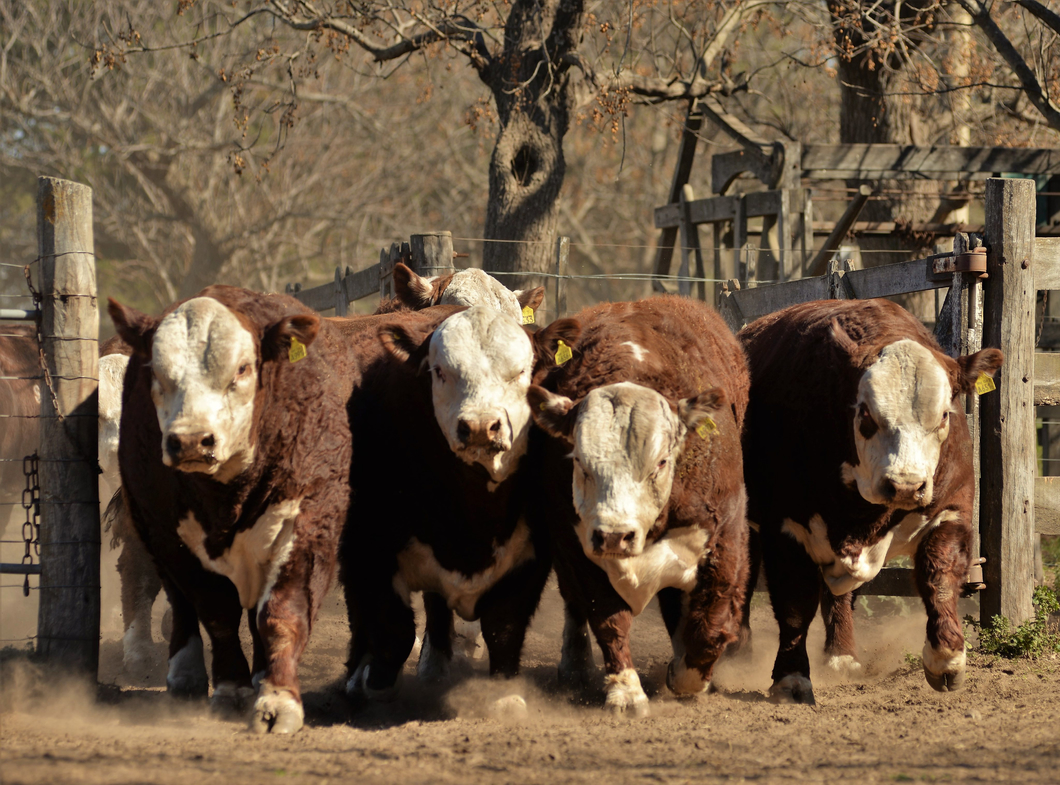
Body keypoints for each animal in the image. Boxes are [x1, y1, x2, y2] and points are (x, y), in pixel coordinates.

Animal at [110, 288, 354, 733]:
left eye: (242, 368)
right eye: (157, 371)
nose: (191, 440)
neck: (227, 493)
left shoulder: (307, 521)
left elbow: (281, 612)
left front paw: (277, 699)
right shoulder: (171, 536)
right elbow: (216, 612)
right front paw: (230, 690)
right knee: (179, 601)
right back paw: (186, 674)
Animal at [339, 305, 576, 699]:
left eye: (521, 372)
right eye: (439, 371)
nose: (480, 427)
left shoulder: (531, 555)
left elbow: (504, 628)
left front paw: (505, 696)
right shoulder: (368, 544)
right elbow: (392, 628)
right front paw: (374, 680)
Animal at [525, 296, 750, 711]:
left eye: (660, 462)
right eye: (580, 461)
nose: (615, 536)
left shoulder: (726, 537)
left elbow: (710, 623)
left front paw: (687, 675)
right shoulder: (576, 546)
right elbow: (605, 616)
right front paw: (625, 690)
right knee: (574, 604)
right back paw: (575, 665)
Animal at [737, 298, 1000, 703]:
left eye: (944, 415)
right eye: (865, 415)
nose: (906, 486)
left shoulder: (950, 509)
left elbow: (939, 575)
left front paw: (947, 657)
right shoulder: (784, 526)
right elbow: (794, 602)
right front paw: (791, 676)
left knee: (841, 594)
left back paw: (842, 654)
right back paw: (736, 650)